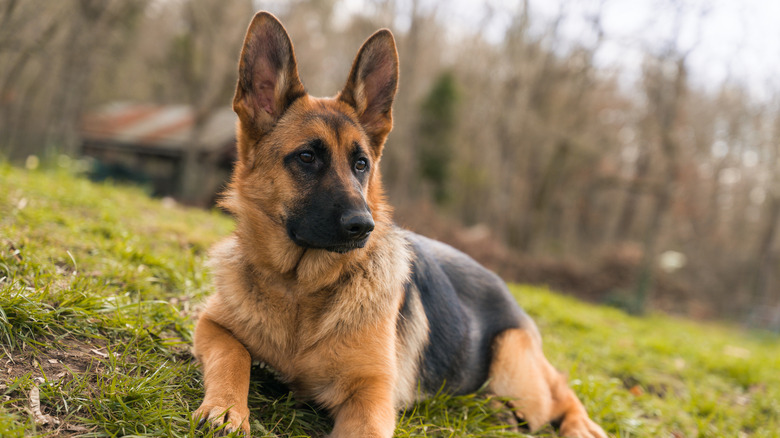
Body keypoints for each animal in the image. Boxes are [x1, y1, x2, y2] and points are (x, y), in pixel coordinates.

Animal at [192, 10, 608, 438]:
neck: (300, 288)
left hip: (515, 371)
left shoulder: (371, 394)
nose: (364, 226)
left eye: (361, 164)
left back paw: (581, 425)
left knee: (558, 389)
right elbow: (232, 355)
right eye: (307, 157)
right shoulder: (211, 325)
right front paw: (226, 408)